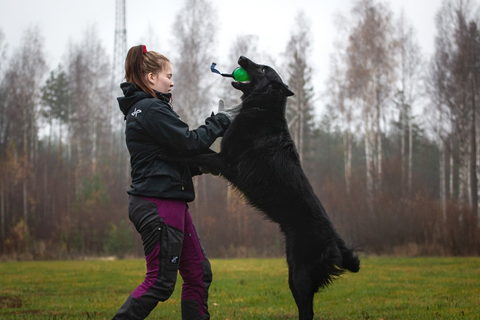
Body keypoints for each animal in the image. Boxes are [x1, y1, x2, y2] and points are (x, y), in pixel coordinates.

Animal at [165, 56, 356, 318]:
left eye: (263, 69)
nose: (242, 58)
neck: (262, 109)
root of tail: (336, 242)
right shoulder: (222, 161)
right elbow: (199, 153)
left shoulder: (226, 162)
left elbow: (193, 154)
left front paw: (166, 152)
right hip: (293, 271)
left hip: (299, 276)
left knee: (307, 310)